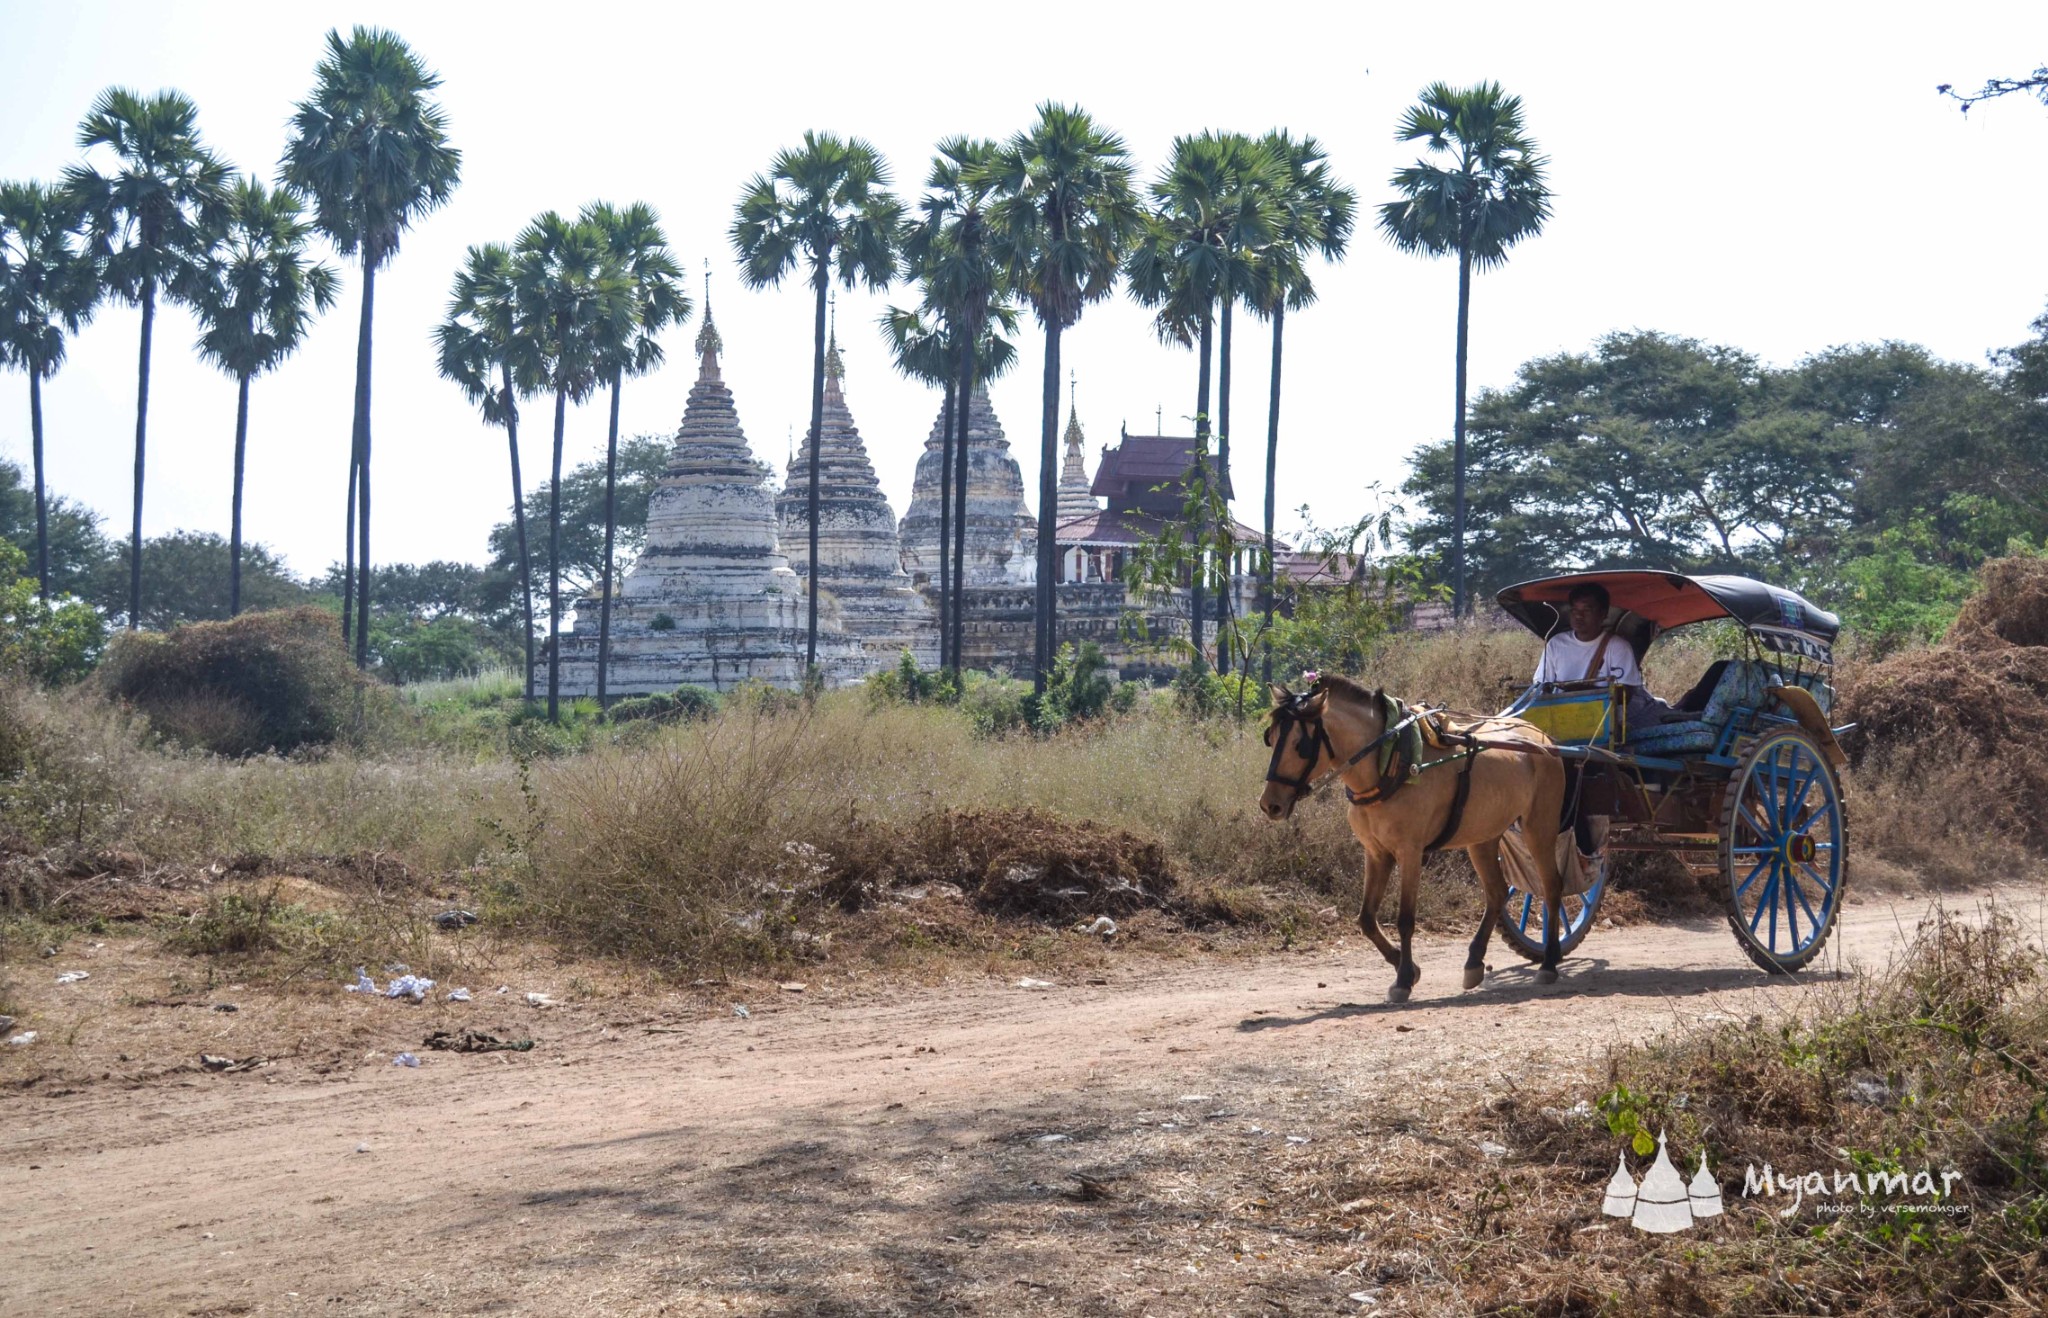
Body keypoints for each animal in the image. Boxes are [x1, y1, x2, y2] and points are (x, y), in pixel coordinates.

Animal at [1253, 679, 1572, 998]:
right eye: (1271, 738)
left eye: (1300, 745)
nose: (1270, 804)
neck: (1391, 761)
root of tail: (1543, 737)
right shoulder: (1376, 853)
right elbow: (1366, 918)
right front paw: (1406, 966)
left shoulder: (1410, 851)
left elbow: (1405, 919)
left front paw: (1404, 978)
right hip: (1483, 835)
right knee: (1496, 892)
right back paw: (1474, 962)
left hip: (1539, 827)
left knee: (1551, 886)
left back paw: (1549, 963)